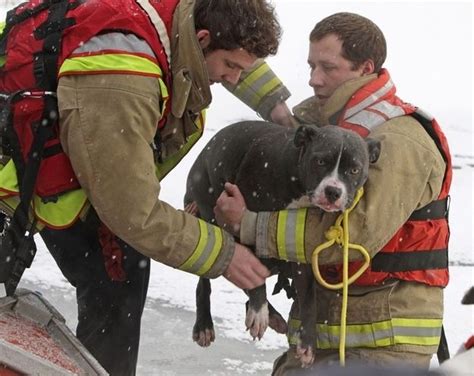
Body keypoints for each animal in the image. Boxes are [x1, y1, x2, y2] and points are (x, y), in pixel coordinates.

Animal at [185, 120, 382, 362]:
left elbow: (308, 298)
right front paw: (258, 312)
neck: (298, 181)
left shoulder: (298, 242)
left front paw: (308, 342)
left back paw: (274, 317)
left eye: (354, 169)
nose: (333, 191)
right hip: (208, 216)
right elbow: (251, 273)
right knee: (208, 278)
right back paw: (206, 324)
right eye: (320, 161)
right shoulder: (244, 217)